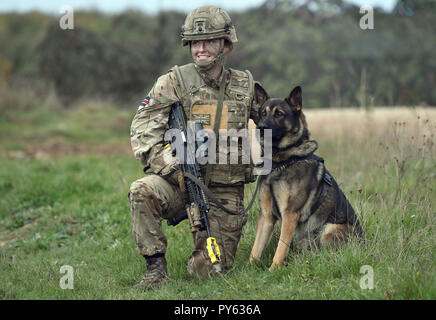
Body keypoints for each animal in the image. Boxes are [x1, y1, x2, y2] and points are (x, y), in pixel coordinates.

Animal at [249, 85, 364, 270]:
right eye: (262, 113)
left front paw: (274, 270)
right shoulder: (266, 215)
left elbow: (281, 247)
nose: (261, 127)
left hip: (329, 229)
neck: (281, 162)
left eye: (279, 113)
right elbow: (256, 248)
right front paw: (249, 268)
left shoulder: (290, 214)